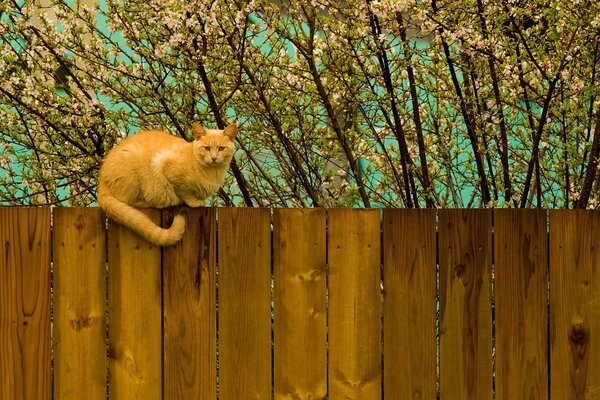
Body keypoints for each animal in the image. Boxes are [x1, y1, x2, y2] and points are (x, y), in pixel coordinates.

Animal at [97, 123, 236, 245]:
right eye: (206, 148)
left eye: (221, 148)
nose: (213, 157)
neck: (213, 174)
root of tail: (102, 182)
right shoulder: (165, 166)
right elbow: (184, 192)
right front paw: (194, 201)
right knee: (129, 202)